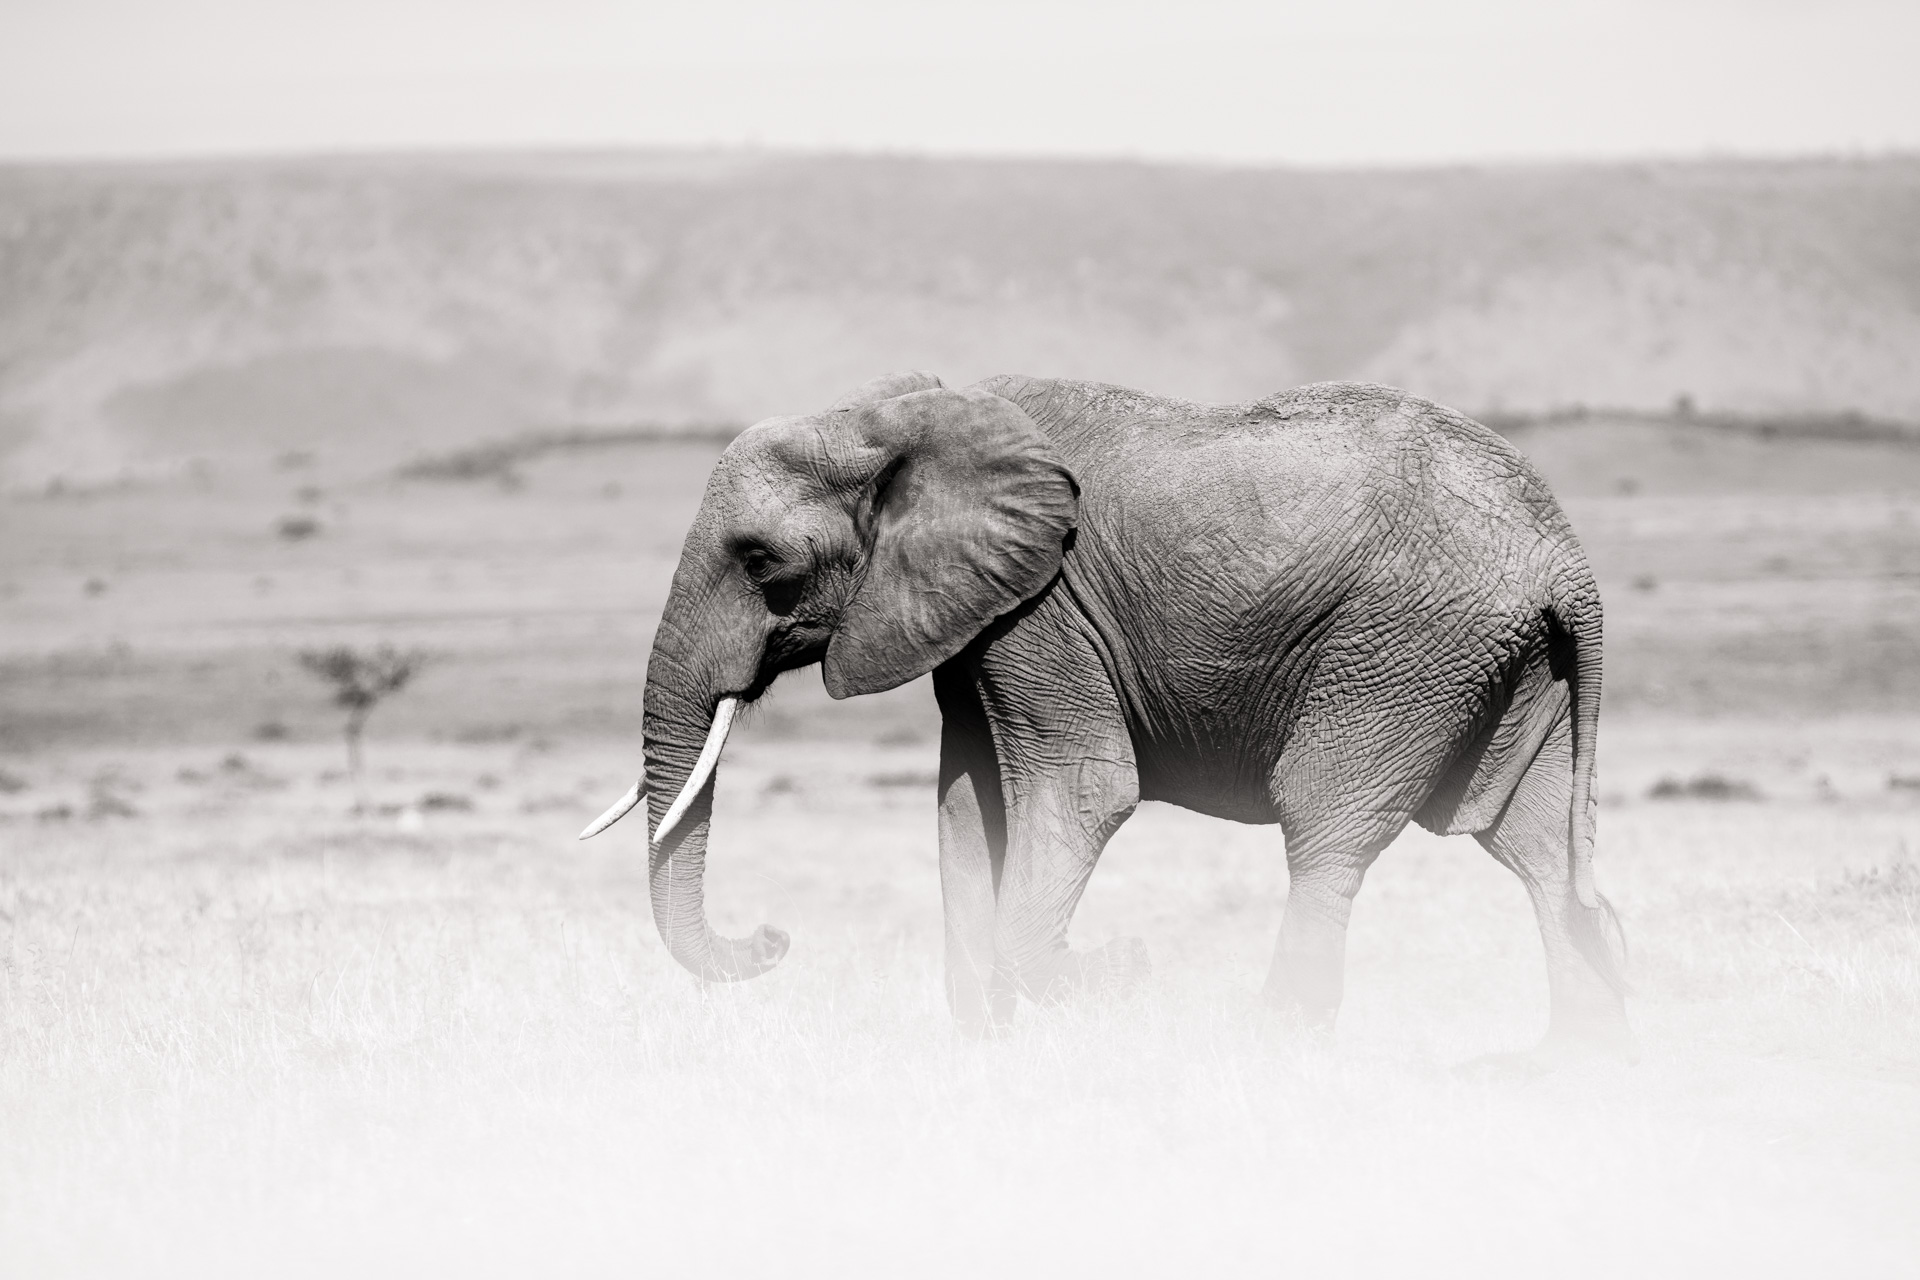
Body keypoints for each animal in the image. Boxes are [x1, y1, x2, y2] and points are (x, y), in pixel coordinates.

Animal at [576, 370, 1628, 1059]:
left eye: (761, 562)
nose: (772, 938)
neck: (890, 413)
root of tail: (1568, 560)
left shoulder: (1043, 608)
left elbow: (1083, 792)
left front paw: (1121, 970)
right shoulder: (973, 619)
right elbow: (968, 806)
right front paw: (988, 1054)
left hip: (1406, 646)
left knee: (1326, 826)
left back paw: (1277, 1052)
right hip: (1504, 665)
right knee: (1535, 848)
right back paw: (1569, 1068)